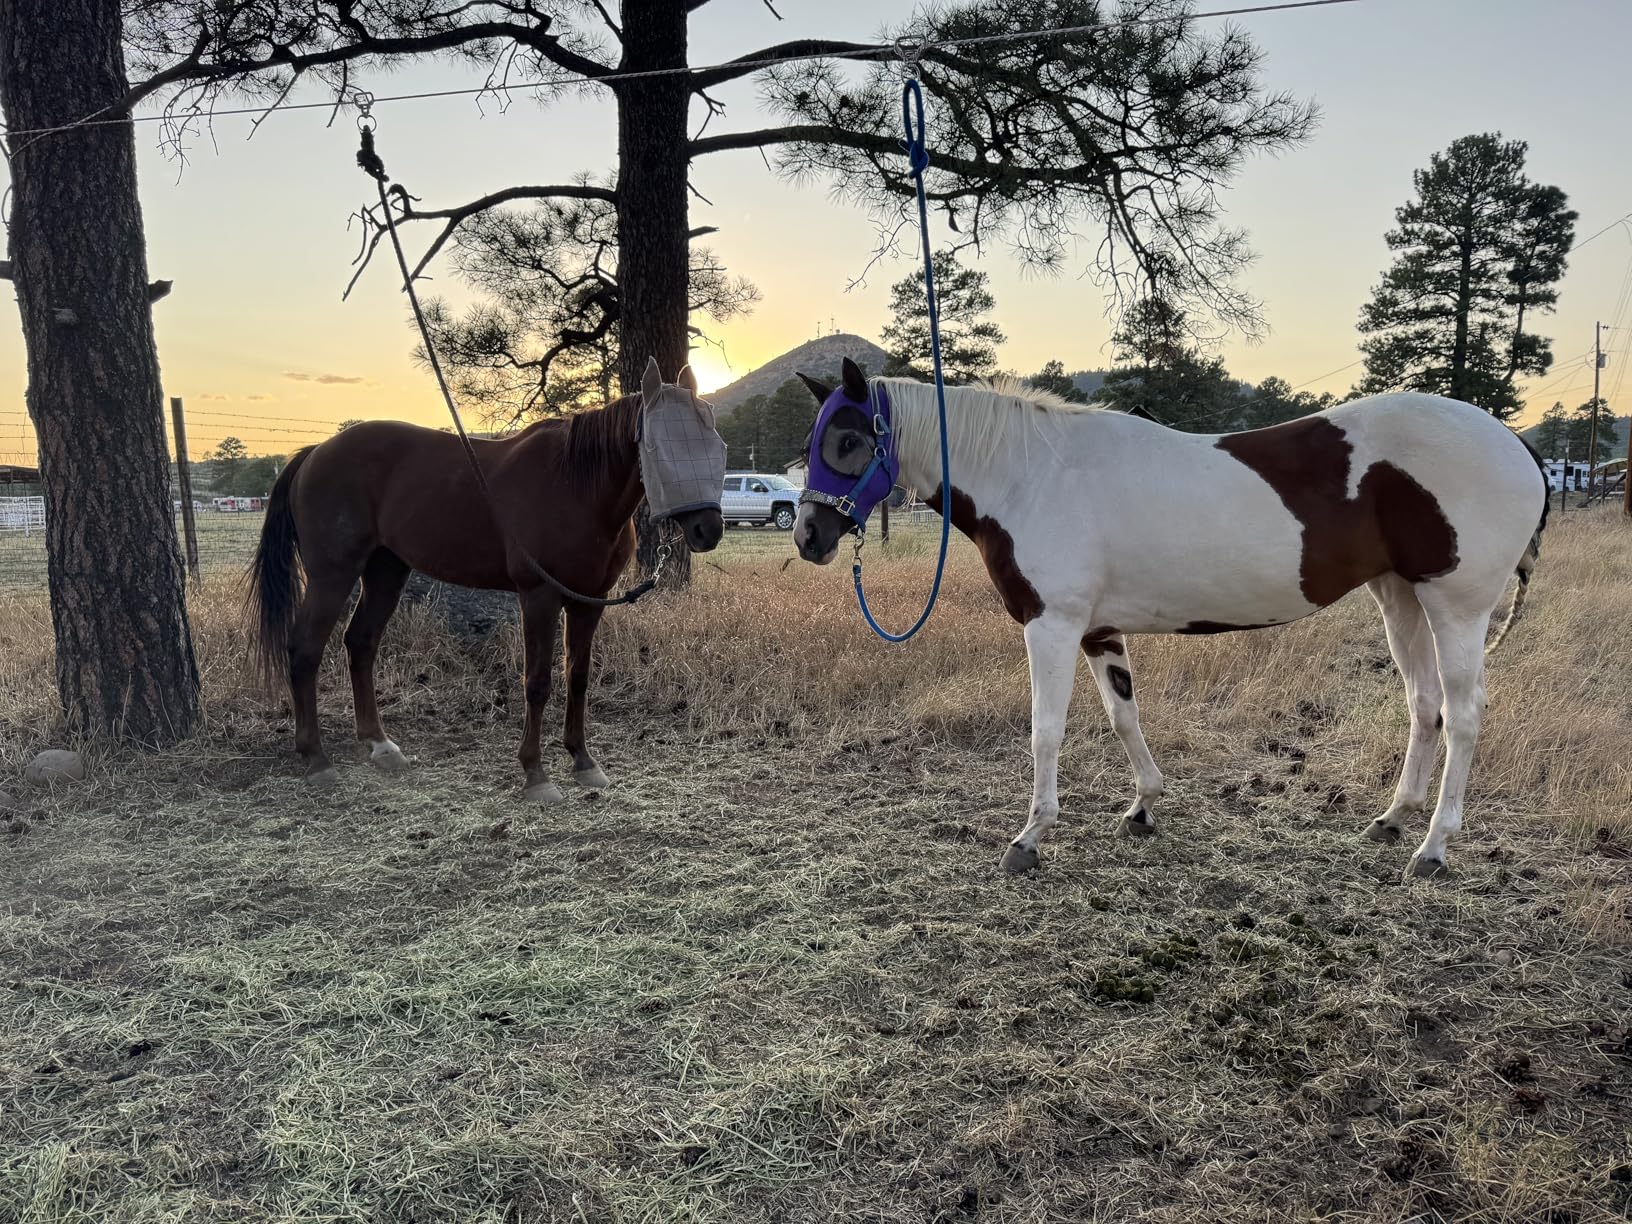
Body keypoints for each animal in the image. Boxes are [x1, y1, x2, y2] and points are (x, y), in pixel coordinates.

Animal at [249, 359, 726, 799]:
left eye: (716, 442)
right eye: (662, 448)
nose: (708, 529)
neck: (575, 486)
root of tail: (317, 452)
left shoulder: (589, 600)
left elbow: (578, 676)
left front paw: (583, 761)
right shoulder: (539, 597)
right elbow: (537, 682)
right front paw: (535, 773)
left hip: (386, 570)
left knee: (361, 644)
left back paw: (380, 745)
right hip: (332, 575)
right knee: (305, 648)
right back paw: (316, 758)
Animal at [794, 358, 1549, 879]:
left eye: (849, 441)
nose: (807, 537)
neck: (1032, 473)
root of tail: (1515, 445)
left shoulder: (1052, 625)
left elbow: (1045, 732)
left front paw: (1029, 838)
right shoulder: (1097, 630)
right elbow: (1124, 716)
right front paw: (1144, 805)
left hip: (1458, 608)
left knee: (1464, 715)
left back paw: (1433, 848)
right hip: (1400, 597)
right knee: (1424, 704)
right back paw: (1392, 820)